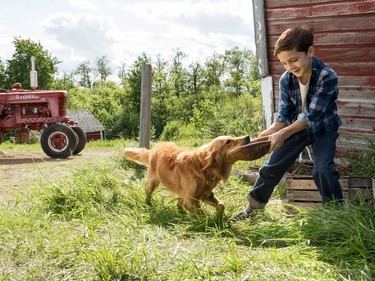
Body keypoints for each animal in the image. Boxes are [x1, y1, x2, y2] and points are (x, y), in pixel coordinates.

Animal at [124, 135, 270, 217]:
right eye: (228, 142)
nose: (247, 137)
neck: (203, 168)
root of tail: (155, 147)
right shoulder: (191, 200)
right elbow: (202, 215)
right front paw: (211, 222)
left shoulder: (206, 195)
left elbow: (221, 205)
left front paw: (219, 218)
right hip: (152, 182)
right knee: (148, 193)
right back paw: (148, 204)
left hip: (181, 190)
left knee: (179, 203)